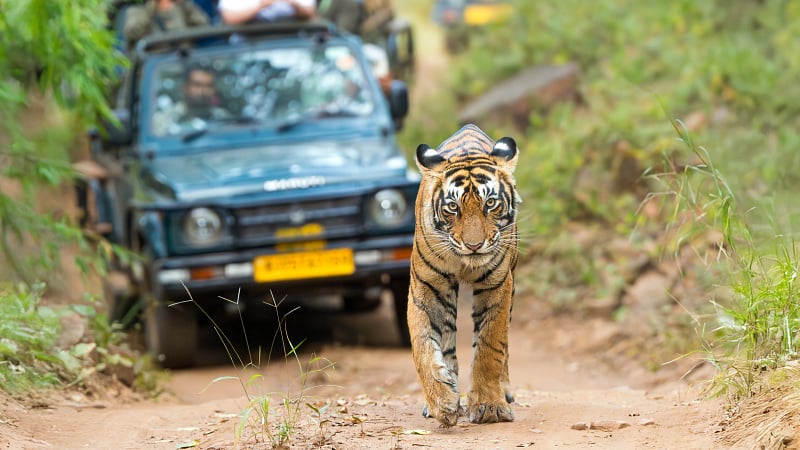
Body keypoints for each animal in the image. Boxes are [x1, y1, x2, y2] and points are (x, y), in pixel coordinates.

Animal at [407, 123, 520, 427]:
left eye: (490, 203)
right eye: (452, 207)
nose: (473, 245)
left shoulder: (498, 285)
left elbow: (490, 347)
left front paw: (489, 407)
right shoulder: (426, 288)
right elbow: (423, 346)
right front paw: (442, 403)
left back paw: (503, 391)